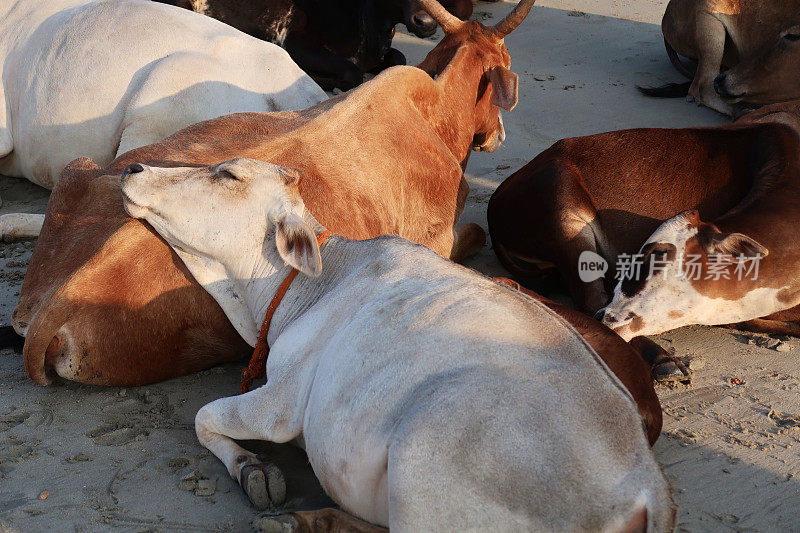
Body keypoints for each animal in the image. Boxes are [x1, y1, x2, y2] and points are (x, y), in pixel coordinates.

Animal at [122, 158, 672, 532]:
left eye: (228, 174)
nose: (132, 165)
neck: (317, 280)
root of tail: (648, 489)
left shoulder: (279, 403)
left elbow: (204, 416)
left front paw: (250, 467)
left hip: (423, 445)